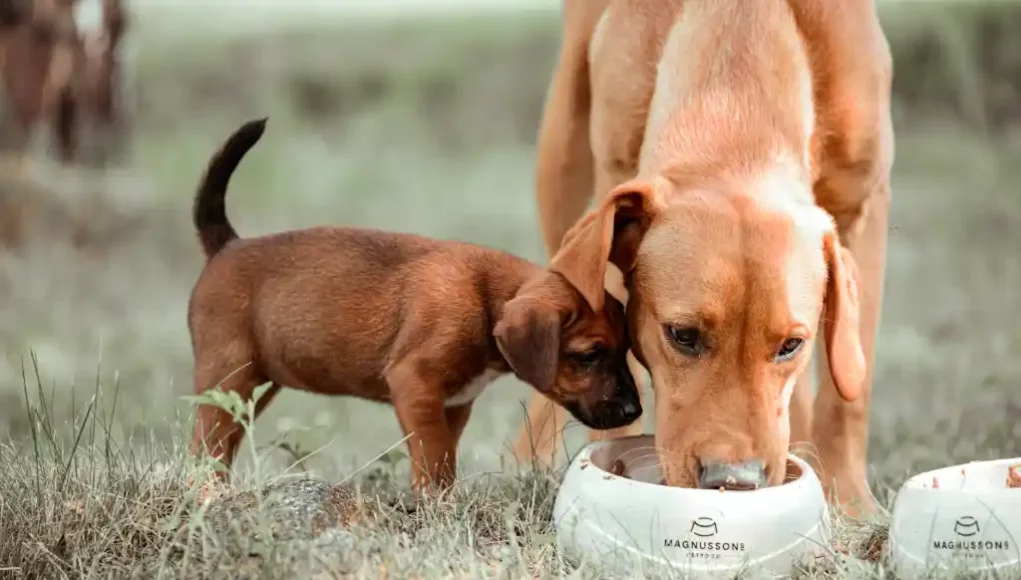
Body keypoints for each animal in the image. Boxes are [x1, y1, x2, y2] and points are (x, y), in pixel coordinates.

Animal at [187, 119, 641, 492]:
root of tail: (227, 245)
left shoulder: (453, 406)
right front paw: (435, 505)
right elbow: (433, 459)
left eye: (625, 349)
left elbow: (445, 459)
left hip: (253, 388)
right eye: (588, 356)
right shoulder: (415, 385)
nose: (633, 409)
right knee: (206, 445)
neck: (486, 298)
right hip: (227, 376)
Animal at [514, 0, 890, 516]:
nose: (734, 481)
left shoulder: (865, 206)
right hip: (561, 148)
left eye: (791, 345)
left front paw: (851, 504)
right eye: (683, 336)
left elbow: (849, 394)